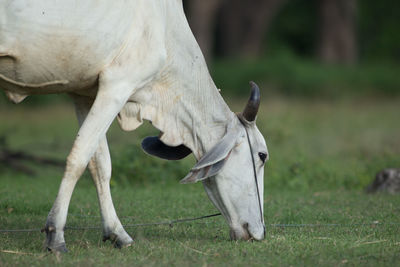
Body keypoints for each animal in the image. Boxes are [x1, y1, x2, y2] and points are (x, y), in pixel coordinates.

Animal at [0, 0, 268, 252]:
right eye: (262, 156)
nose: (261, 232)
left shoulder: (84, 94)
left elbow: (100, 165)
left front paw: (117, 233)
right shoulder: (118, 85)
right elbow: (79, 158)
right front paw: (55, 236)